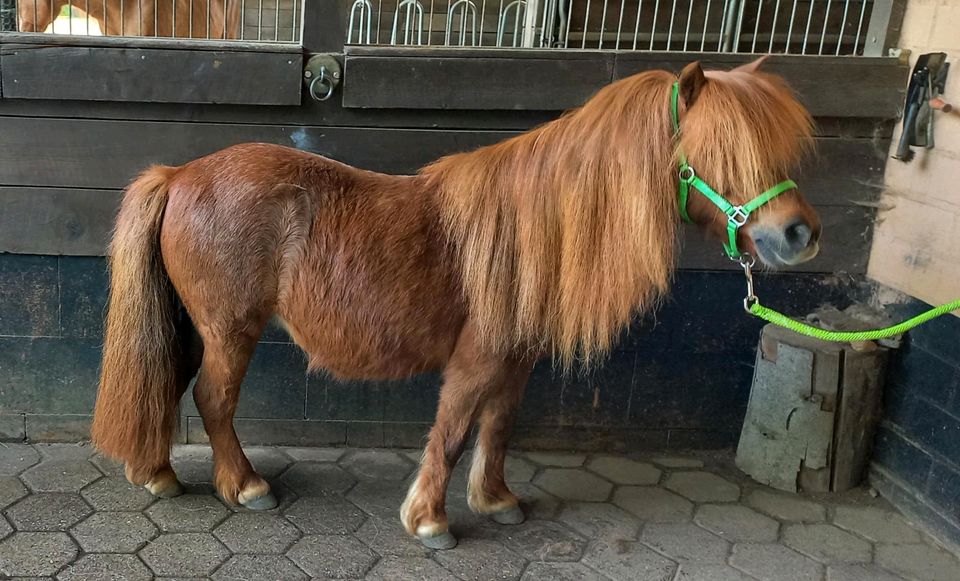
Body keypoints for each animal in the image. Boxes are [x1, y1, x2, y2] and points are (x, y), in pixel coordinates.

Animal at [94, 57, 820, 548]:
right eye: (718, 149)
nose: (799, 234)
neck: (535, 229)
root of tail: (180, 175)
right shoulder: (477, 358)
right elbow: (450, 432)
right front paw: (430, 520)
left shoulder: (516, 361)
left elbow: (497, 427)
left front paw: (495, 500)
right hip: (231, 329)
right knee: (212, 399)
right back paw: (245, 485)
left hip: (196, 327)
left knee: (167, 383)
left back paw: (157, 472)